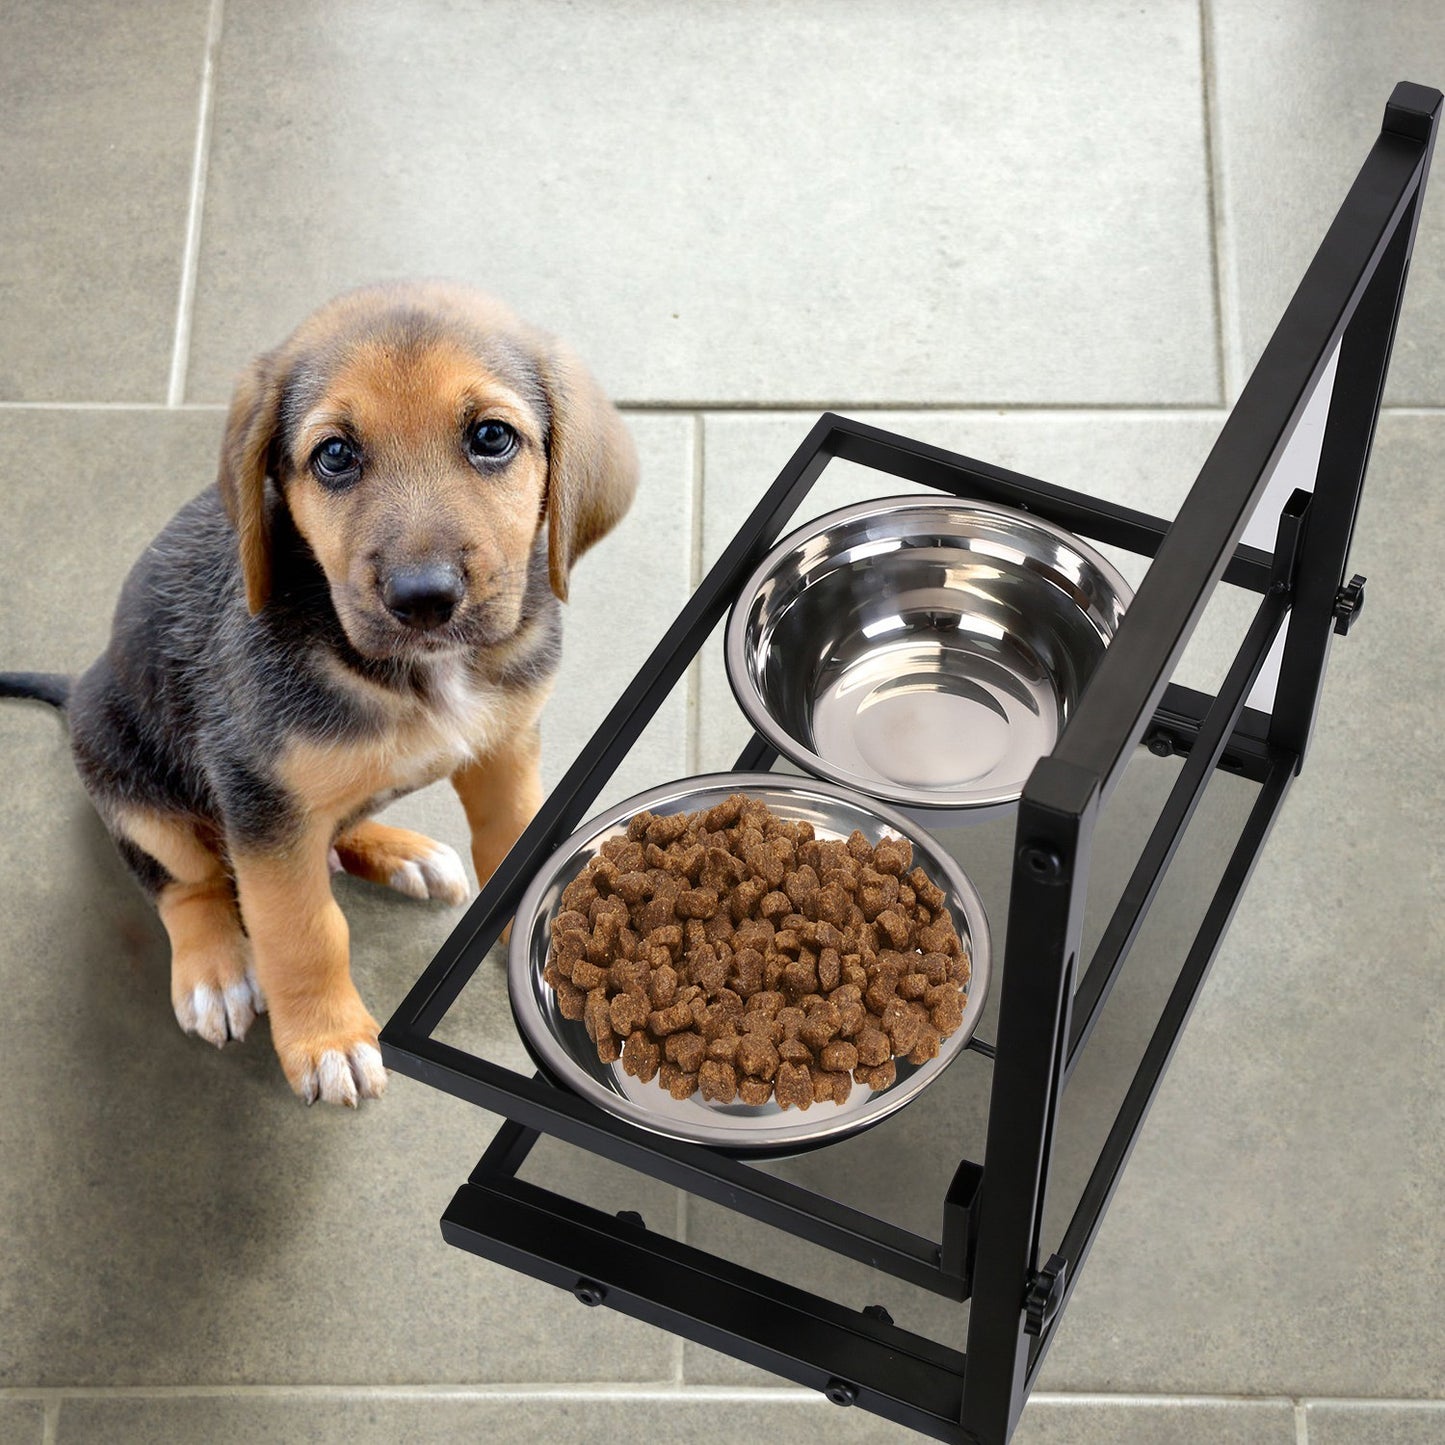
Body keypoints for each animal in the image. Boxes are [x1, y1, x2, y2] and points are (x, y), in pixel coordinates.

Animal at [0, 287, 638, 1109]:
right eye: (335, 455)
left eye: (492, 437)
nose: (424, 599)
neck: (420, 674)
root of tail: (81, 684)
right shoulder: (260, 796)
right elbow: (301, 930)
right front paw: (327, 1039)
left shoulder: (505, 744)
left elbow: (510, 835)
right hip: (133, 782)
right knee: (186, 881)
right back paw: (214, 969)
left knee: (332, 828)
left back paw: (400, 852)